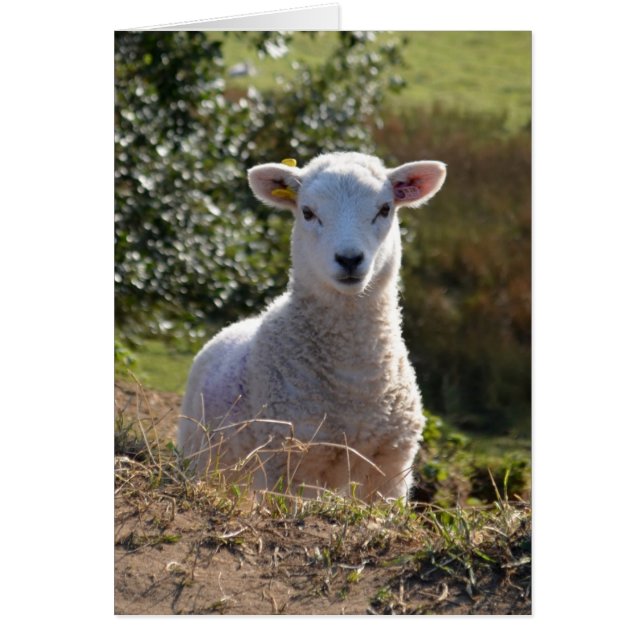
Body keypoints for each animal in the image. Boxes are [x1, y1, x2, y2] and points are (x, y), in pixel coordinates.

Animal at [177, 151, 447, 500]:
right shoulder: (286, 462)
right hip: (202, 453)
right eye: (307, 212)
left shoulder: (391, 467)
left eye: (385, 208)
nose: (349, 259)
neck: (353, 379)